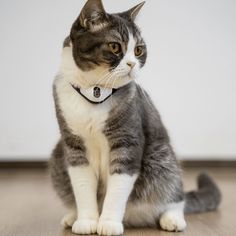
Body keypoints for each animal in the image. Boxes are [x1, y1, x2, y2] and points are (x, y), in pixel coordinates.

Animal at [49, 0, 221, 235]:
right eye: (114, 46)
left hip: (161, 159)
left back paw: (172, 218)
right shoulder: (73, 145)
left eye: (139, 50)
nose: (132, 64)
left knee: (175, 194)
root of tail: (132, 218)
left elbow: (118, 187)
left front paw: (109, 223)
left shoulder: (127, 142)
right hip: (58, 154)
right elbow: (82, 186)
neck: (95, 92)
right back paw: (72, 216)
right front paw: (86, 221)